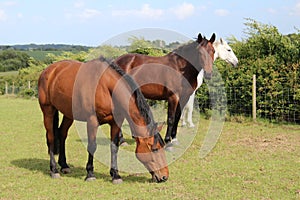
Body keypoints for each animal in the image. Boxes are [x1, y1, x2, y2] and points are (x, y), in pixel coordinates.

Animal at [37, 56, 169, 183]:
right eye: (155, 149)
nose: (164, 177)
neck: (106, 87)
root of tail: (48, 70)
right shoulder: (92, 121)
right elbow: (92, 146)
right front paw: (90, 174)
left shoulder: (116, 123)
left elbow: (114, 147)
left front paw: (115, 175)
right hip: (48, 110)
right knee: (51, 138)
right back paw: (54, 170)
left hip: (68, 114)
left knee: (62, 134)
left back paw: (64, 165)